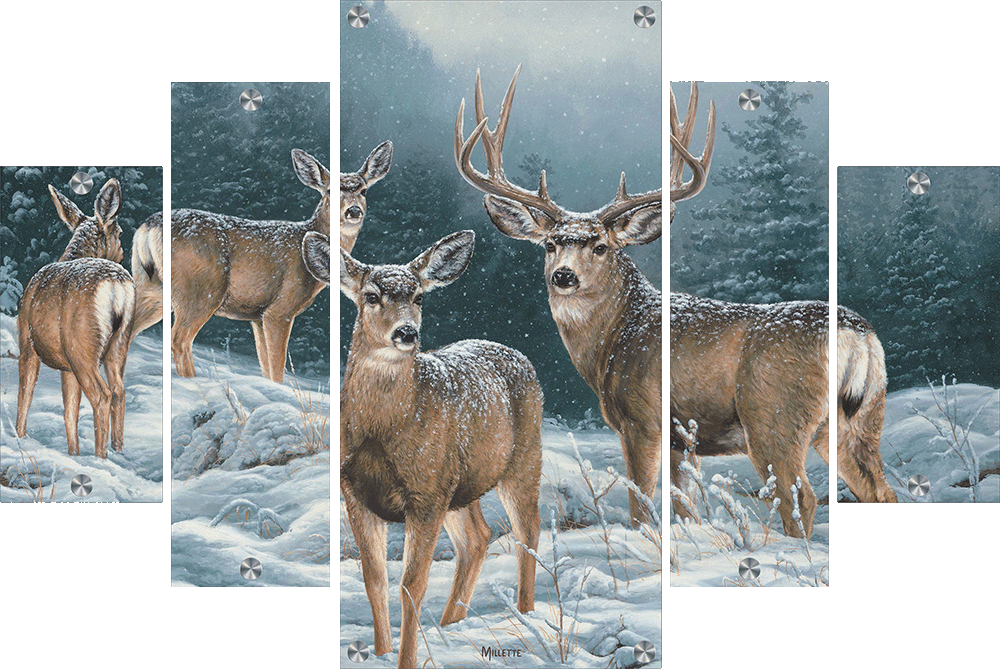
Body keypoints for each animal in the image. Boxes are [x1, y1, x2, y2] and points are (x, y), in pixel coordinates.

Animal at [16, 179, 135, 458]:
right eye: (120, 232)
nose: (123, 255)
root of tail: (117, 286)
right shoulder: (66, 366)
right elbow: (70, 411)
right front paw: (73, 454)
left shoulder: (27, 343)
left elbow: (25, 396)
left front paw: (19, 437)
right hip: (119, 343)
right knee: (119, 392)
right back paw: (117, 451)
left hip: (81, 346)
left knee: (102, 396)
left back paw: (102, 458)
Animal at [170, 148, 330, 382]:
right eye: (329, 190)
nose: (353, 210)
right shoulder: (279, 310)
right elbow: (276, 366)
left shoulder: (257, 316)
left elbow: (264, 364)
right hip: (199, 291)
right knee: (179, 339)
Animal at [340, 230, 542, 669]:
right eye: (371, 295)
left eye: (419, 296)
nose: (406, 333)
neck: (382, 433)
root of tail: (518, 354)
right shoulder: (354, 492)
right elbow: (374, 580)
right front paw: (381, 652)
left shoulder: (426, 493)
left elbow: (411, 585)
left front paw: (405, 660)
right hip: (460, 484)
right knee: (479, 537)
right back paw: (452, 624)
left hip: (522, 460)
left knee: (527, 530)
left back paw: (526, 613)